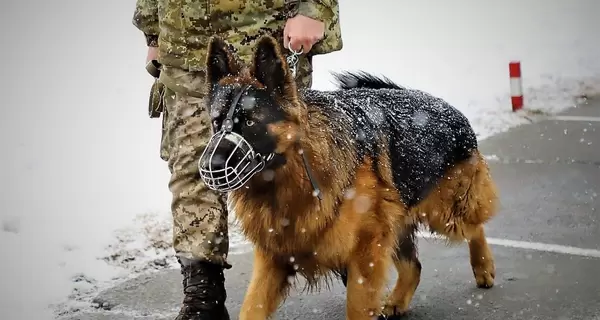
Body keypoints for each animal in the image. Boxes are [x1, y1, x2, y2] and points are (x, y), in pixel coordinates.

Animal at [199, 35, 500, 320]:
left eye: (250, 122)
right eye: (216, 122)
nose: (209, 166)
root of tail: (446, 107)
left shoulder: (366, 252)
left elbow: (357, 308)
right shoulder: (274, 257)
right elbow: (252, 307)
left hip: (445, 213)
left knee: (475, 227)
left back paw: (483, 267)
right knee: (413, 266)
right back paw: (398, 301)